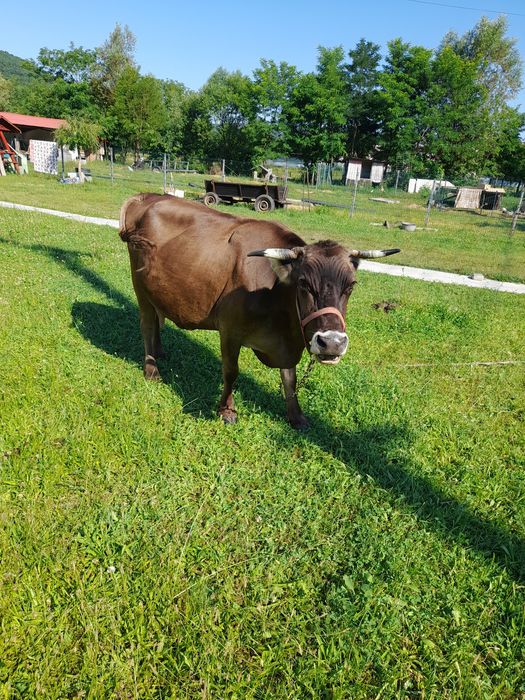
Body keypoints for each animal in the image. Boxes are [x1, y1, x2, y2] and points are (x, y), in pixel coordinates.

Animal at [119, 193, 400, 429]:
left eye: (351, 285)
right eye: (303, 283)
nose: (331, 343)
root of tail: (146, 197)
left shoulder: (287, 344)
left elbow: (290, 379)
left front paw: (296, 416)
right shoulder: (229, 330)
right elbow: (231, 371)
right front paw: (226, 410)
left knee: (158, 321)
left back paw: (160, 352)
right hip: (140, 289)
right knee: (147, 325)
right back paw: (151, 369)